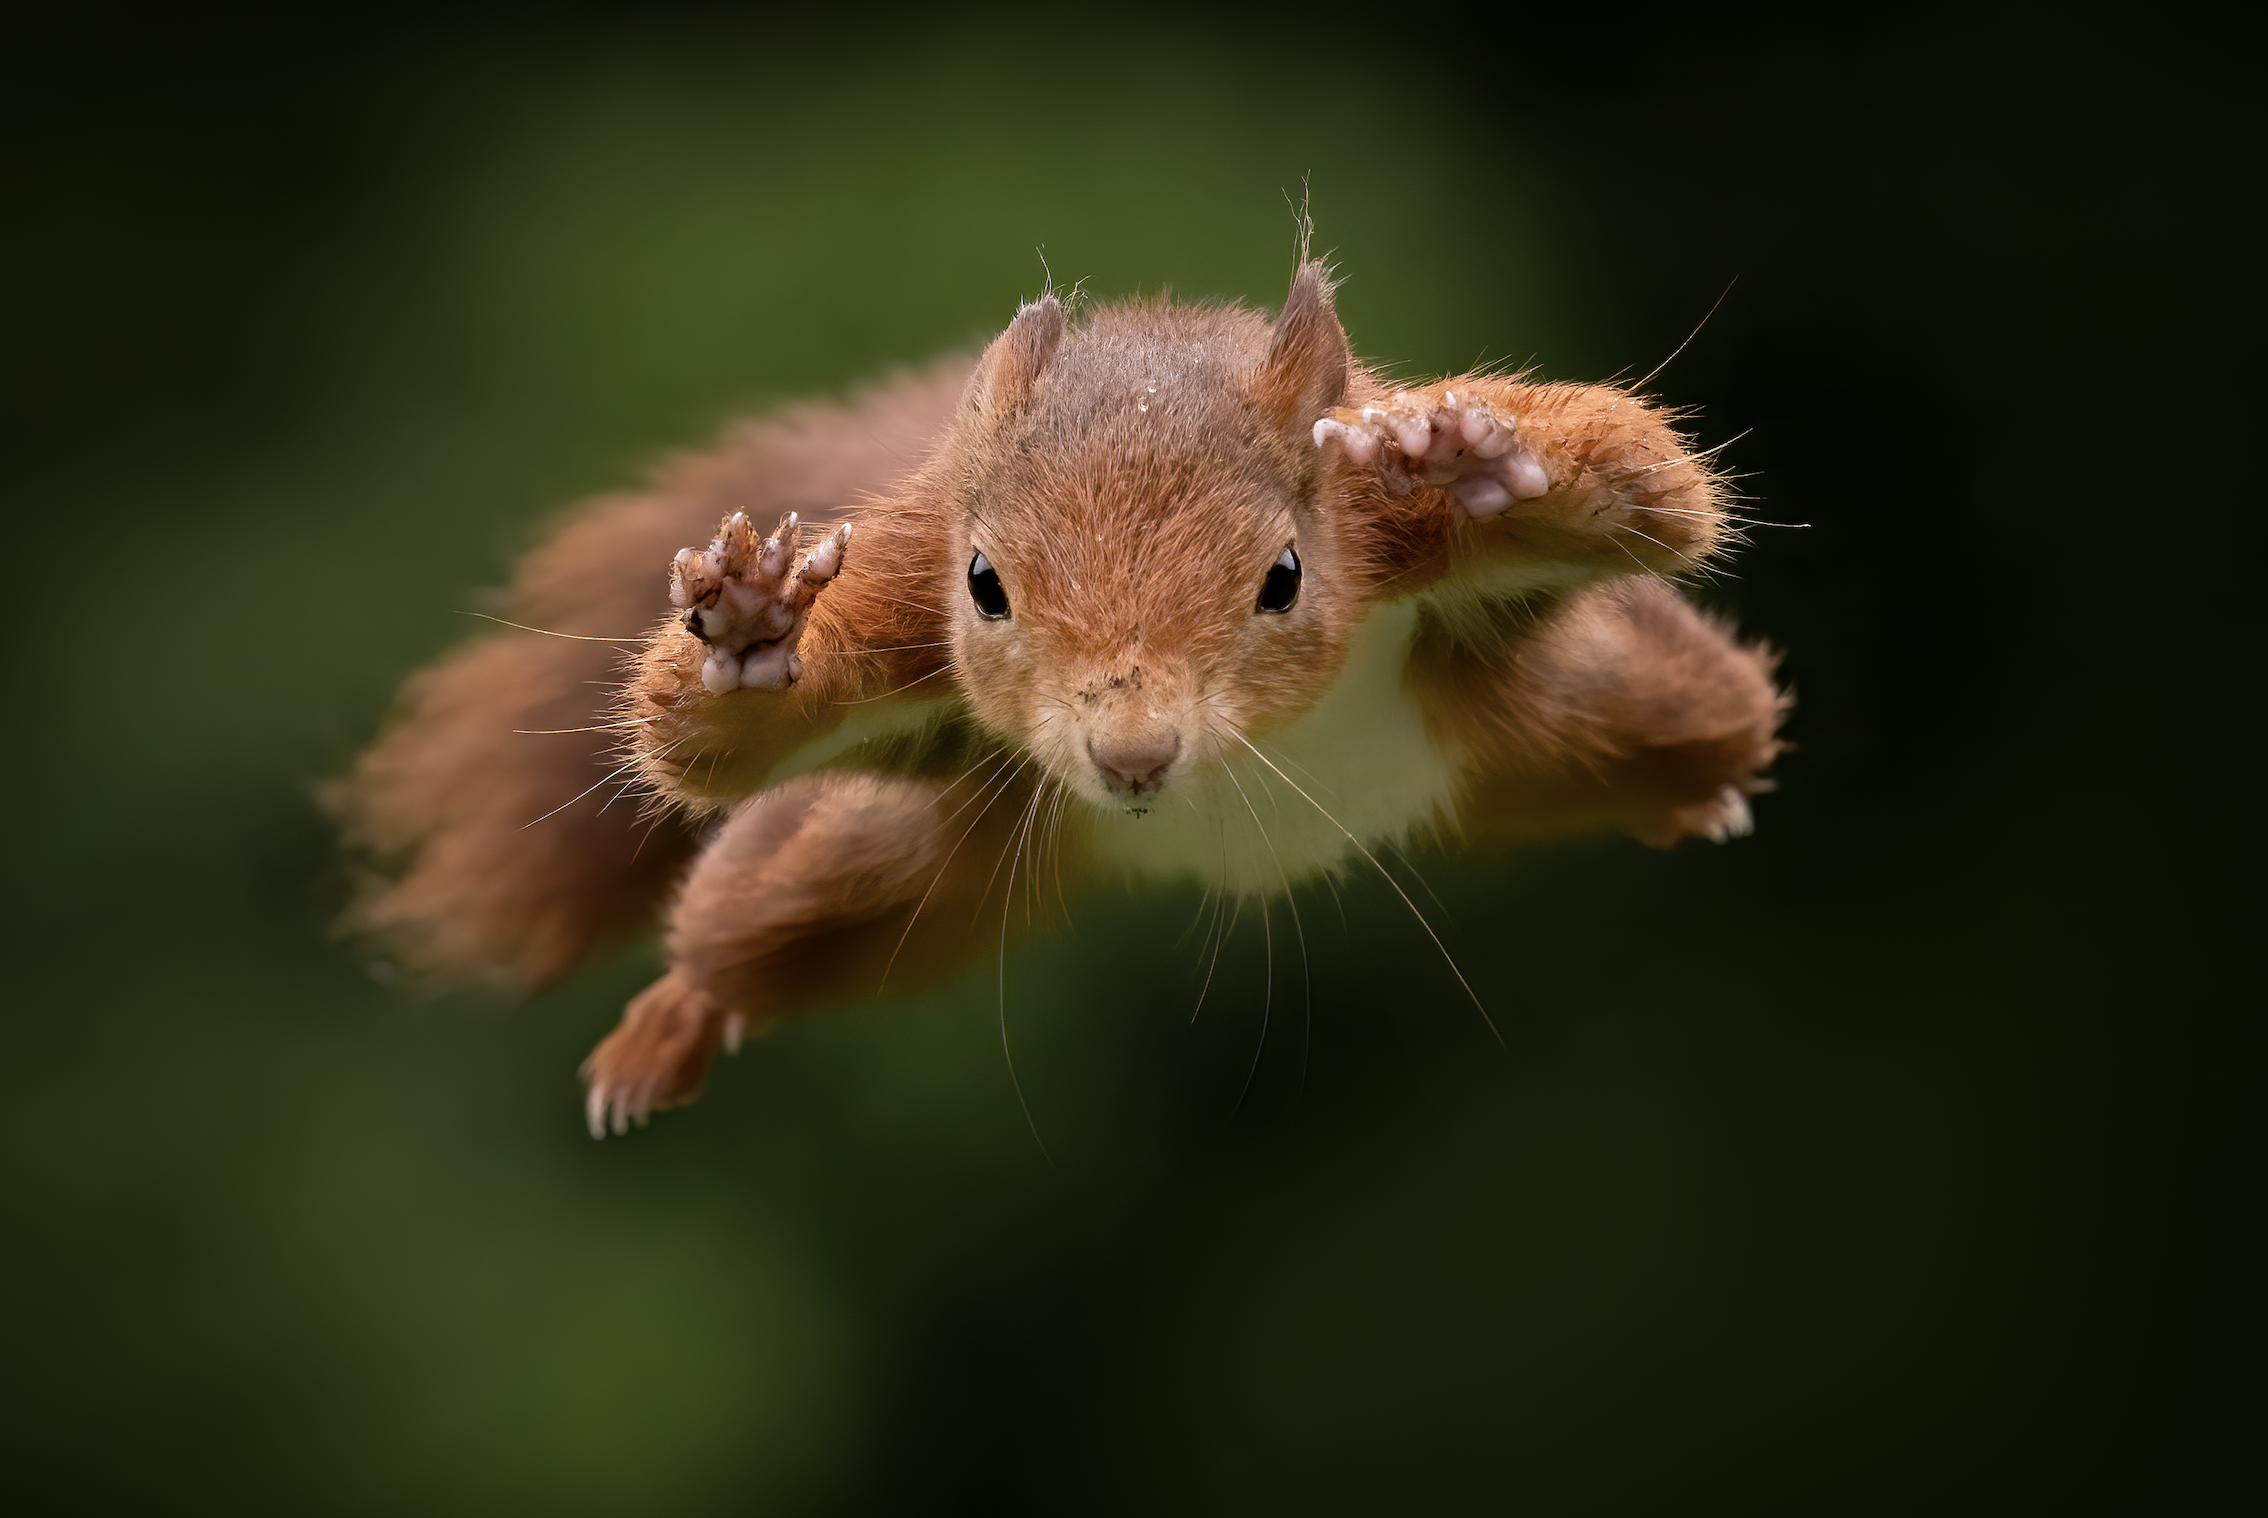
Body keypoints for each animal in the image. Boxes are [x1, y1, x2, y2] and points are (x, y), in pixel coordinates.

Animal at [331, 261, 1787, 1138]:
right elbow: (695, 753)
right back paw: (670, 1027)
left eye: (1285, 576)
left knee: (1694, 715)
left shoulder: (1393, 527)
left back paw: (1706, 791)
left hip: (1595, 696)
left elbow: (1661, 497)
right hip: (877, 857)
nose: (1132, 757)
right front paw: (753, 631)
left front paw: (1476, 450)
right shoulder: (901, 592)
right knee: (748, 927)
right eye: (986, 584)